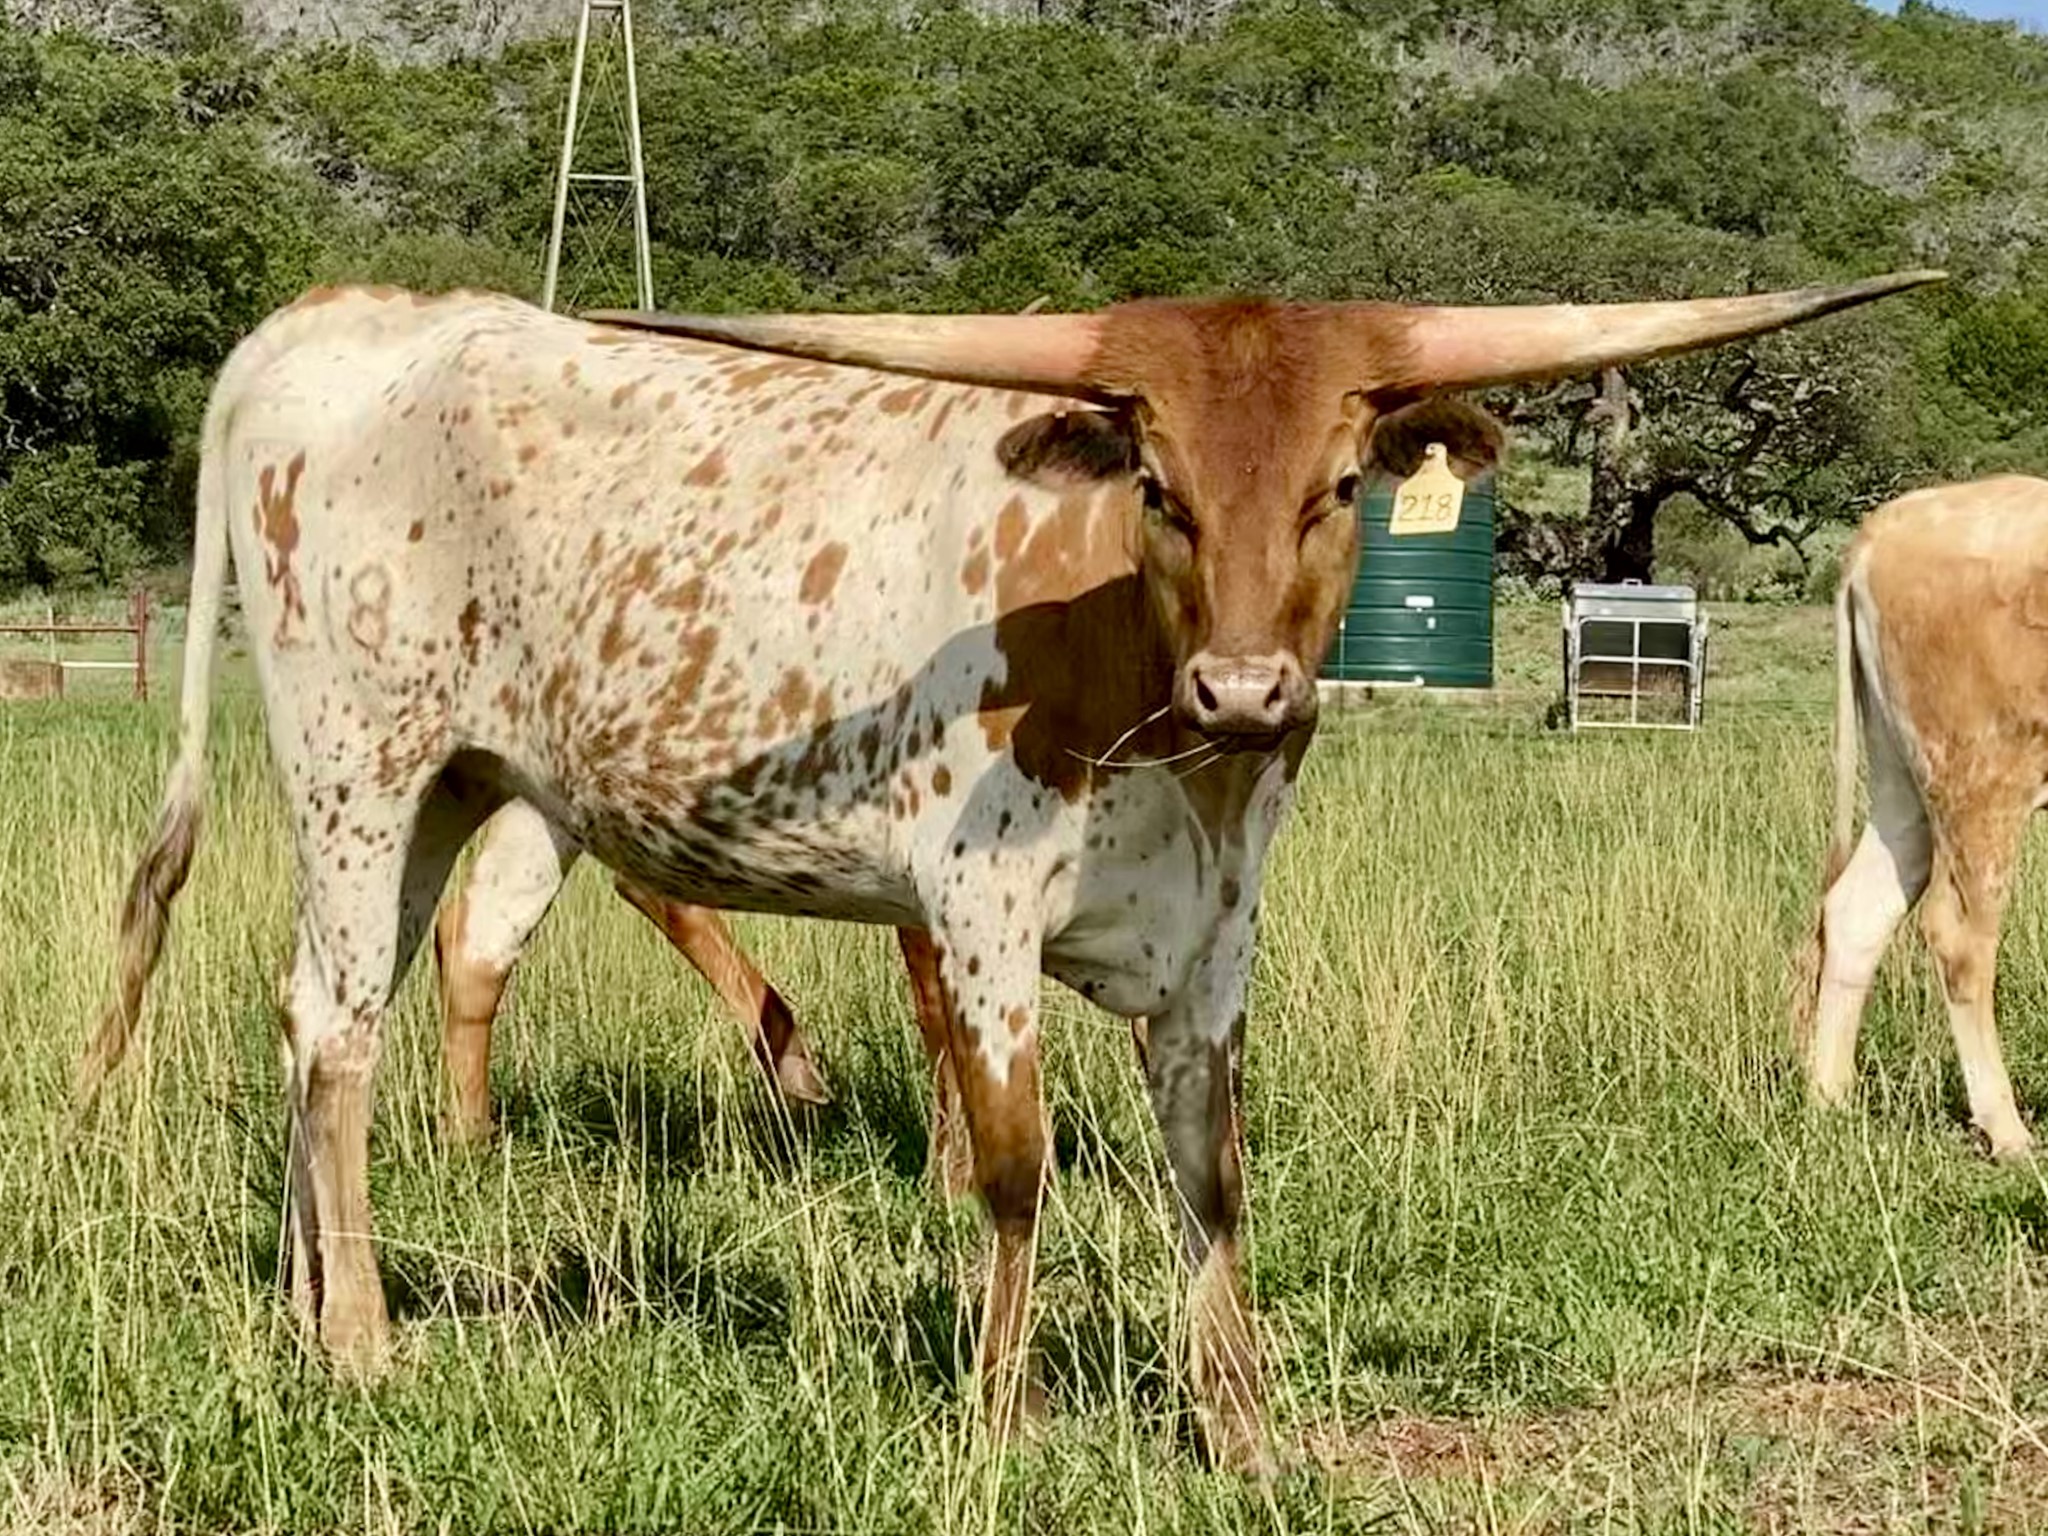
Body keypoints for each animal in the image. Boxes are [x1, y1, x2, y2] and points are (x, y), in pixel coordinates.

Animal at [79, 269, 1939, 1472]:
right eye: (1160, 488)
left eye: (1342, 482)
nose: (1248, 692)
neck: (1149, 699)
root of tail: (340, 317)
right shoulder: (975, 915)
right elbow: (1013, 1168)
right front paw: (994, 1418)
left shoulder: (1216, 938)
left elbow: (1209, 1176)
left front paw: (1242, 1431)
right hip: (357, 768)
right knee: (338, 1034)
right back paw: (362, 1346)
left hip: (456, 787)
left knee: (317, 1012)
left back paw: (308, 1309)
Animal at [1794, 474, 2048, 1163]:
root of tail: (1888, 525)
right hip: (1980, 778)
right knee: (1960, 939)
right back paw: (2007, 1131)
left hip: (1902, 781)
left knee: (1856, 911)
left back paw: (1829, 1098)